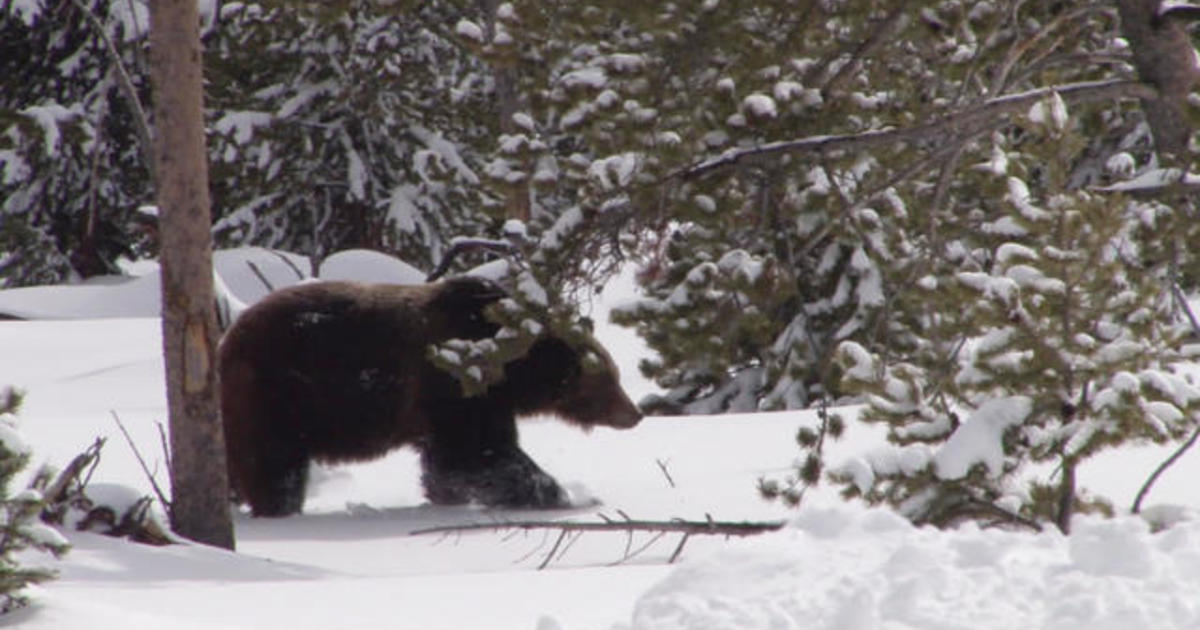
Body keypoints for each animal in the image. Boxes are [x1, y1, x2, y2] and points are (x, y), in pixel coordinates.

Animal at [219, 274, 643, 516]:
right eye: (610, 377)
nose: (635, 413)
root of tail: (229, 338)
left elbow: (447, 462)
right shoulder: (453, 388)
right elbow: (476, 453)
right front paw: (562, 494)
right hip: (280, 393)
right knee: (273, 462)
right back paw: (277, 507)